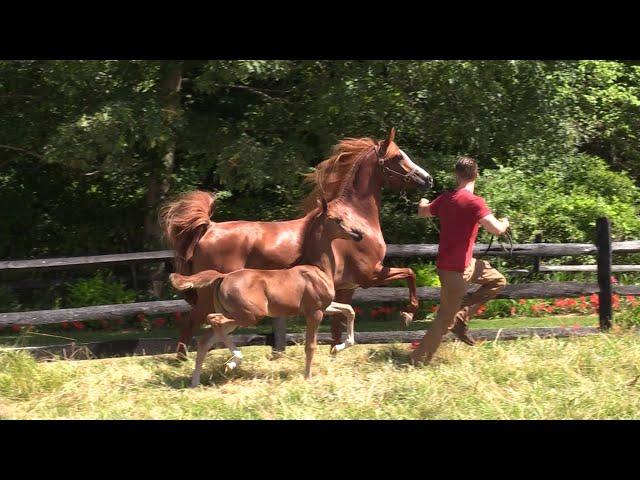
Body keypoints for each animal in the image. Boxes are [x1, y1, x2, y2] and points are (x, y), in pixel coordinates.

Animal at [160, 125, 436, 358]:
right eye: (398, 157)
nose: (428, 179)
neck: (355, 216)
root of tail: (209, 227)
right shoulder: (369, 274)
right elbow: (410, 273)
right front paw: (408, 314)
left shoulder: (347, 286)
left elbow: (338, 321)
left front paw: (334, 351)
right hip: (210, 292)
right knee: (193, 321)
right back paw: (186, 360)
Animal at [169, 197, 360, 384]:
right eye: (338, 219)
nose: (358, 234)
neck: (318, 269)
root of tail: (223, 277)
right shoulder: (315, 312)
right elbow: (310, 345)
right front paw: (308, 378)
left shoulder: (324, 306)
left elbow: (349, 310)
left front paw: (338, 347)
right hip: (250, 315)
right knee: (213, 321)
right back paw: (232, 362)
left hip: (237, 317)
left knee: (205, 340)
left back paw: (197, 382)